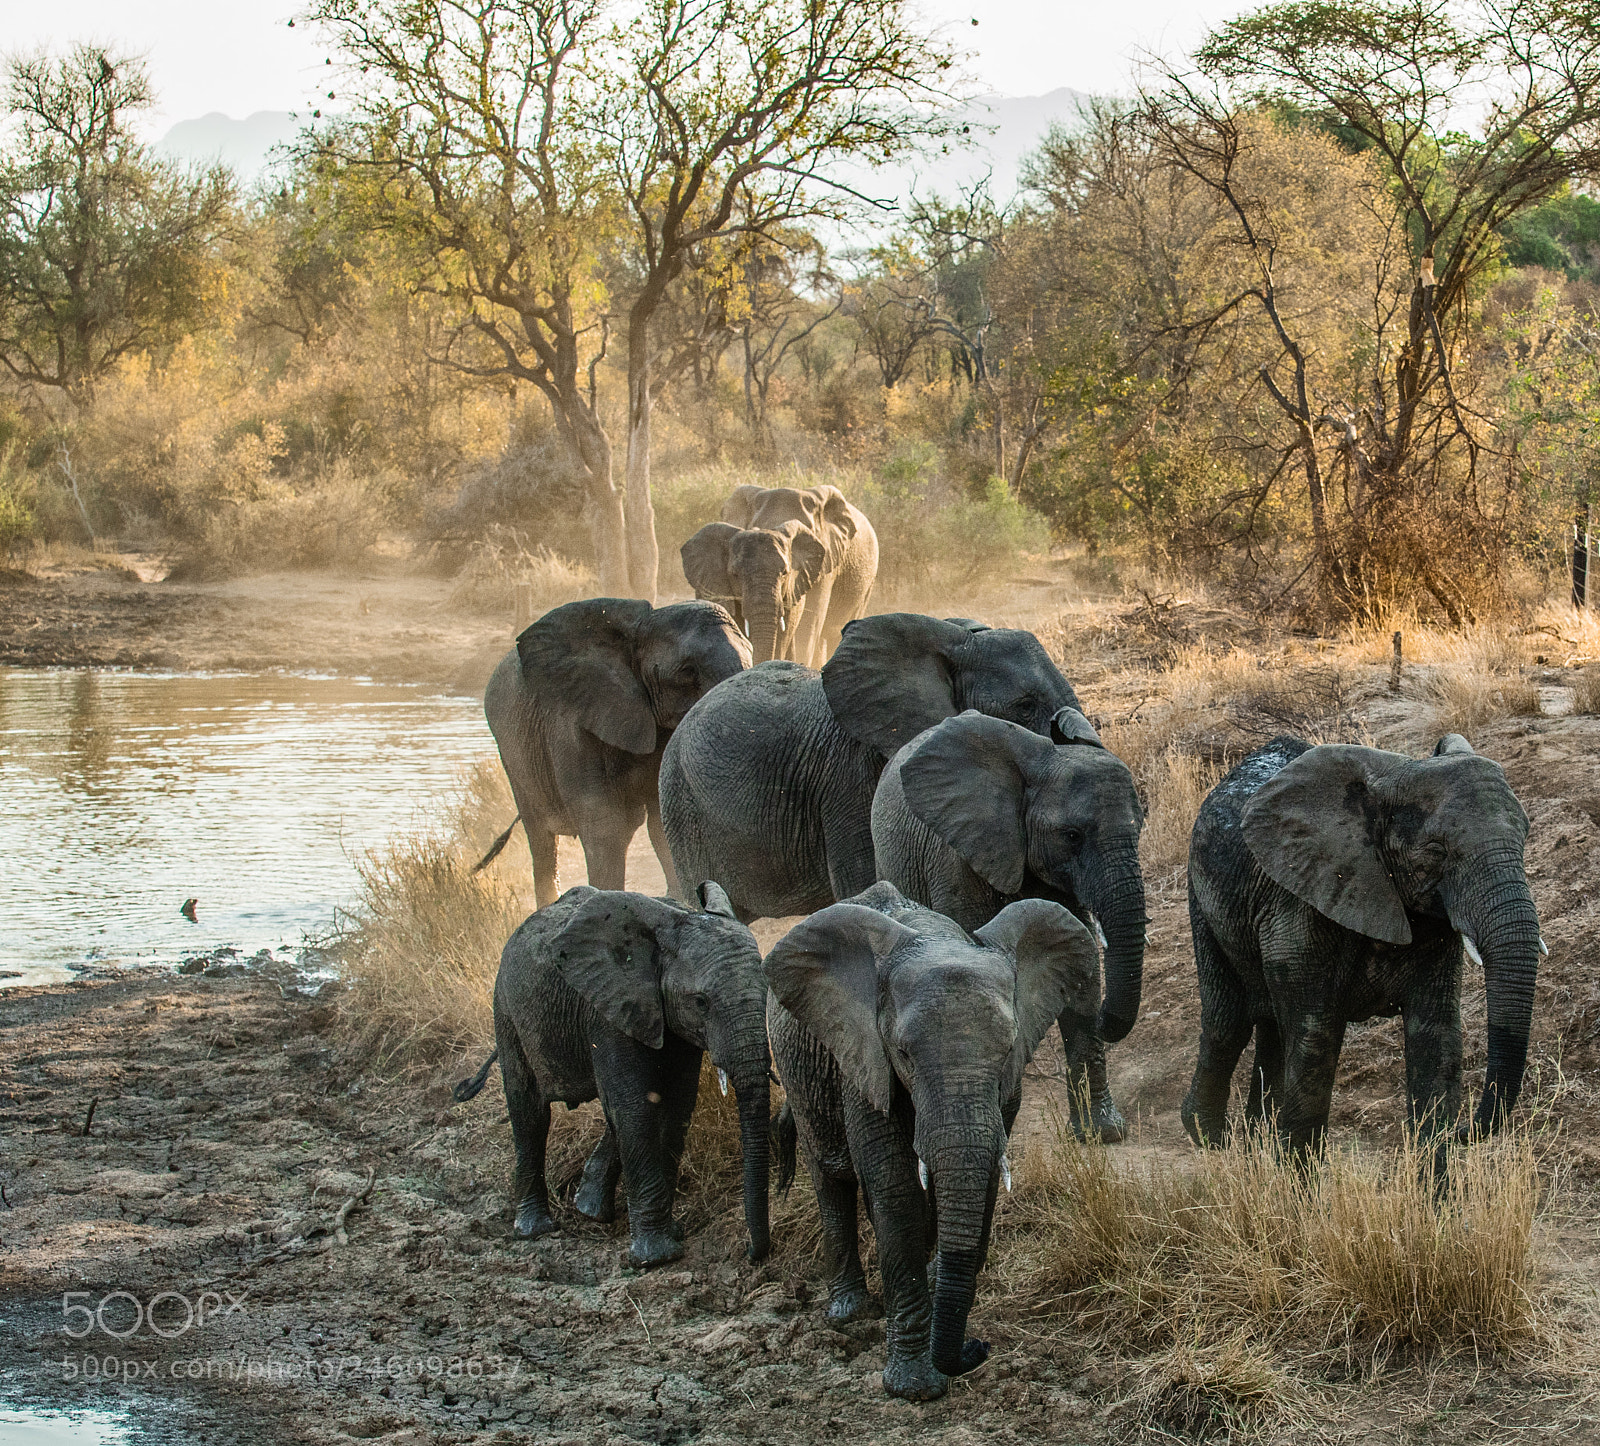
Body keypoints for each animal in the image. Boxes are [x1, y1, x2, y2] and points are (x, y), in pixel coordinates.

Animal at [453, 882, 771, 1266]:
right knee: (529, 1113)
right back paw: (534, 1229)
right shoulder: (607, 1012)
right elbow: (635, 1107)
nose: (751, 1253)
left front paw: (670, 1236)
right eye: (701, 1002)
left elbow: (676, 1105)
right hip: (506, 1009)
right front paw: (656, 1257)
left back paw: (589, 1209)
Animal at [484, 597, 749, 907]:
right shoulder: (571, 725)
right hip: (513, 758)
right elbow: (604, 824)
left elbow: (661, 820)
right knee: (542, 842)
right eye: (686, 671)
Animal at [766, 882, 1099, 1399]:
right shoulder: (865, 1062)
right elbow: (898, 1192)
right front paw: (915, 1388)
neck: (936, 938)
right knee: (830, 1175)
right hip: (799, 1071)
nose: (978, 1348)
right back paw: (849, 1313)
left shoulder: (1005, 1092)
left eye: (1008, 1049)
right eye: (903, 1053)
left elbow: (980, 1187)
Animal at [871, 710, 1148, 1144]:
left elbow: (1079, 957)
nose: (1107, 1021)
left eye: (1140, 829)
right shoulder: (958, 860)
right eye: (1072, 836)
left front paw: (1102, 1134)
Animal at [1182, 733, 1544, 1158]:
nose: (1462, 1131)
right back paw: (1210, 1138)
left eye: (1524, 838)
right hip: (1201, 896)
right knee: (1229, 1021)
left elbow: (1436, 1036)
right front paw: (1297, 1175)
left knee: (1270, 1025)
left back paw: (1257, 1139)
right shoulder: (1302, 899)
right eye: (1436, 851)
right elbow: (1314, 1037)